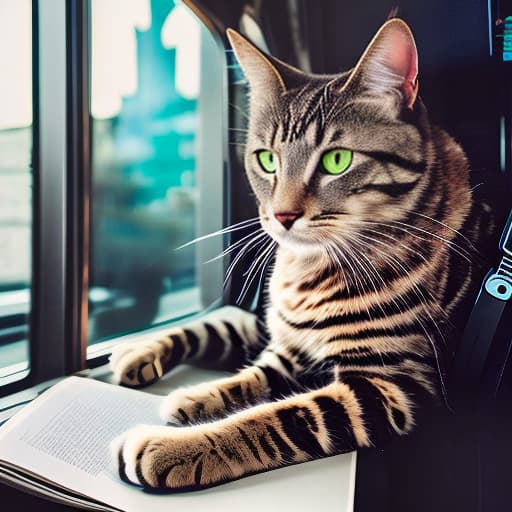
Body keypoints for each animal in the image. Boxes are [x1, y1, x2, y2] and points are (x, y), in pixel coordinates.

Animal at [109, 19, 484, 492]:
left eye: (337, 160)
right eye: (267, 160)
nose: (283, 216)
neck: (309, 271)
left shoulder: (389, 386)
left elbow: (274, 418)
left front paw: (178, 446)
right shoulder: (282, 342)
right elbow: (233, 355)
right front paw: (180, 380)